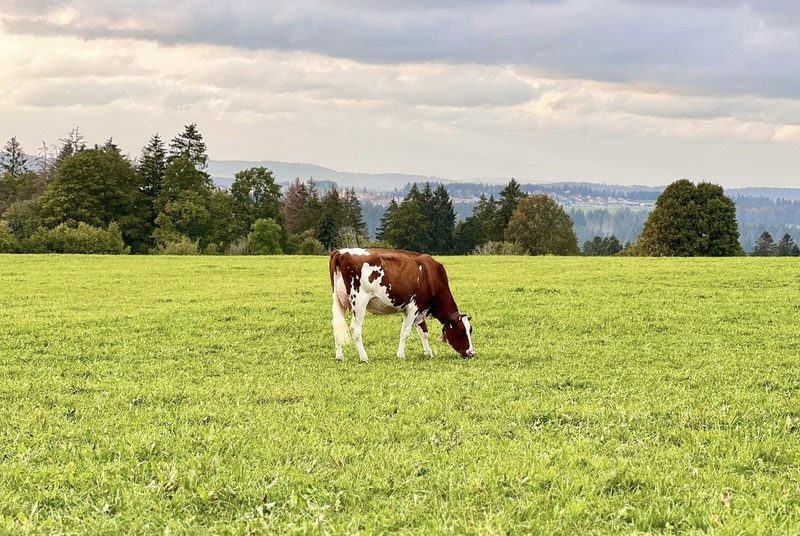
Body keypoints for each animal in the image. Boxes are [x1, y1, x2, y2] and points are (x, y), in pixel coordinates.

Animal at [329, 247, 474, 363]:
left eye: (470, 331)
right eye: (462, 332)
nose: (472, 353)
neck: (431, 276)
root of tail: (341, 252)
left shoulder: (420, 310)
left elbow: (424, 332)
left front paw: (428, 353)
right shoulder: (414, 307)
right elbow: (405, 332)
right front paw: (400, 355)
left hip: (338, 301)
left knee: (336, 326)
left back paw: (339, 357)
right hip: (359, 302)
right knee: (355, 329)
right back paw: (364, 357)